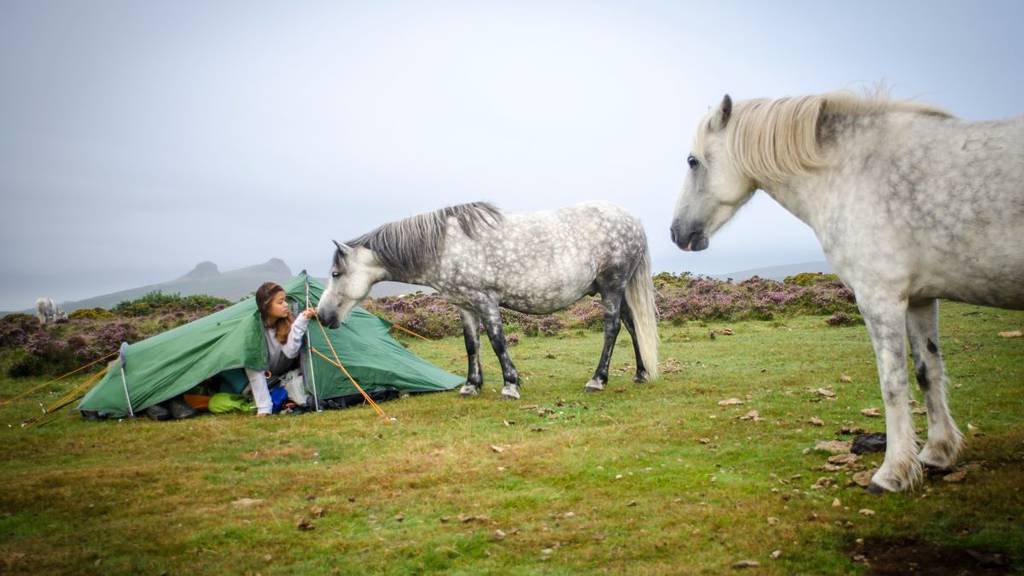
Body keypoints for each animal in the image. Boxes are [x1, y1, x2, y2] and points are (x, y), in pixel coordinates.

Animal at [317, 201, 660, 400]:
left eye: (335, 273)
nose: (322, 315)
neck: (445, 245)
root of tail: (634, 221)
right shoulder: (465, 305)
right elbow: (472, 345)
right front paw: (472, 385)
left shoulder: (485, 300)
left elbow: (496, 341)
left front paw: (510, 384)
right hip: (613, 289)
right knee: (632, 325)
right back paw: (641, 373)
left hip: (612, 286)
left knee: (612, 328)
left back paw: (597, 380)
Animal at [670, 91, 1024, 493]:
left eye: (692, 161)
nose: (676, 232)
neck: (849, 171)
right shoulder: (919, 299)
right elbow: (927, 371)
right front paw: (937, 453)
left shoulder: (879, 297)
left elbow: (893, 383)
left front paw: (892, 472)